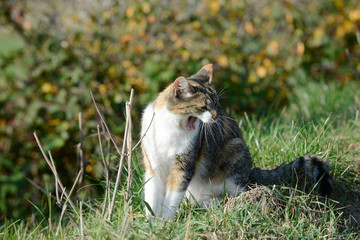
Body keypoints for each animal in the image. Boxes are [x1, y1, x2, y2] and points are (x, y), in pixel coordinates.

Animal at [139, 63, 334, 219]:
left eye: (216, 104)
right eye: (204, 106)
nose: (216, 116)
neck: (170, 128)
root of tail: (250, 173)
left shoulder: (184, 166)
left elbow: (172, 197)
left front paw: (164, 222)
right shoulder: (153, 163)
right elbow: (152, 194)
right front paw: (151, 223)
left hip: (235, 150)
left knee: (237, 191)